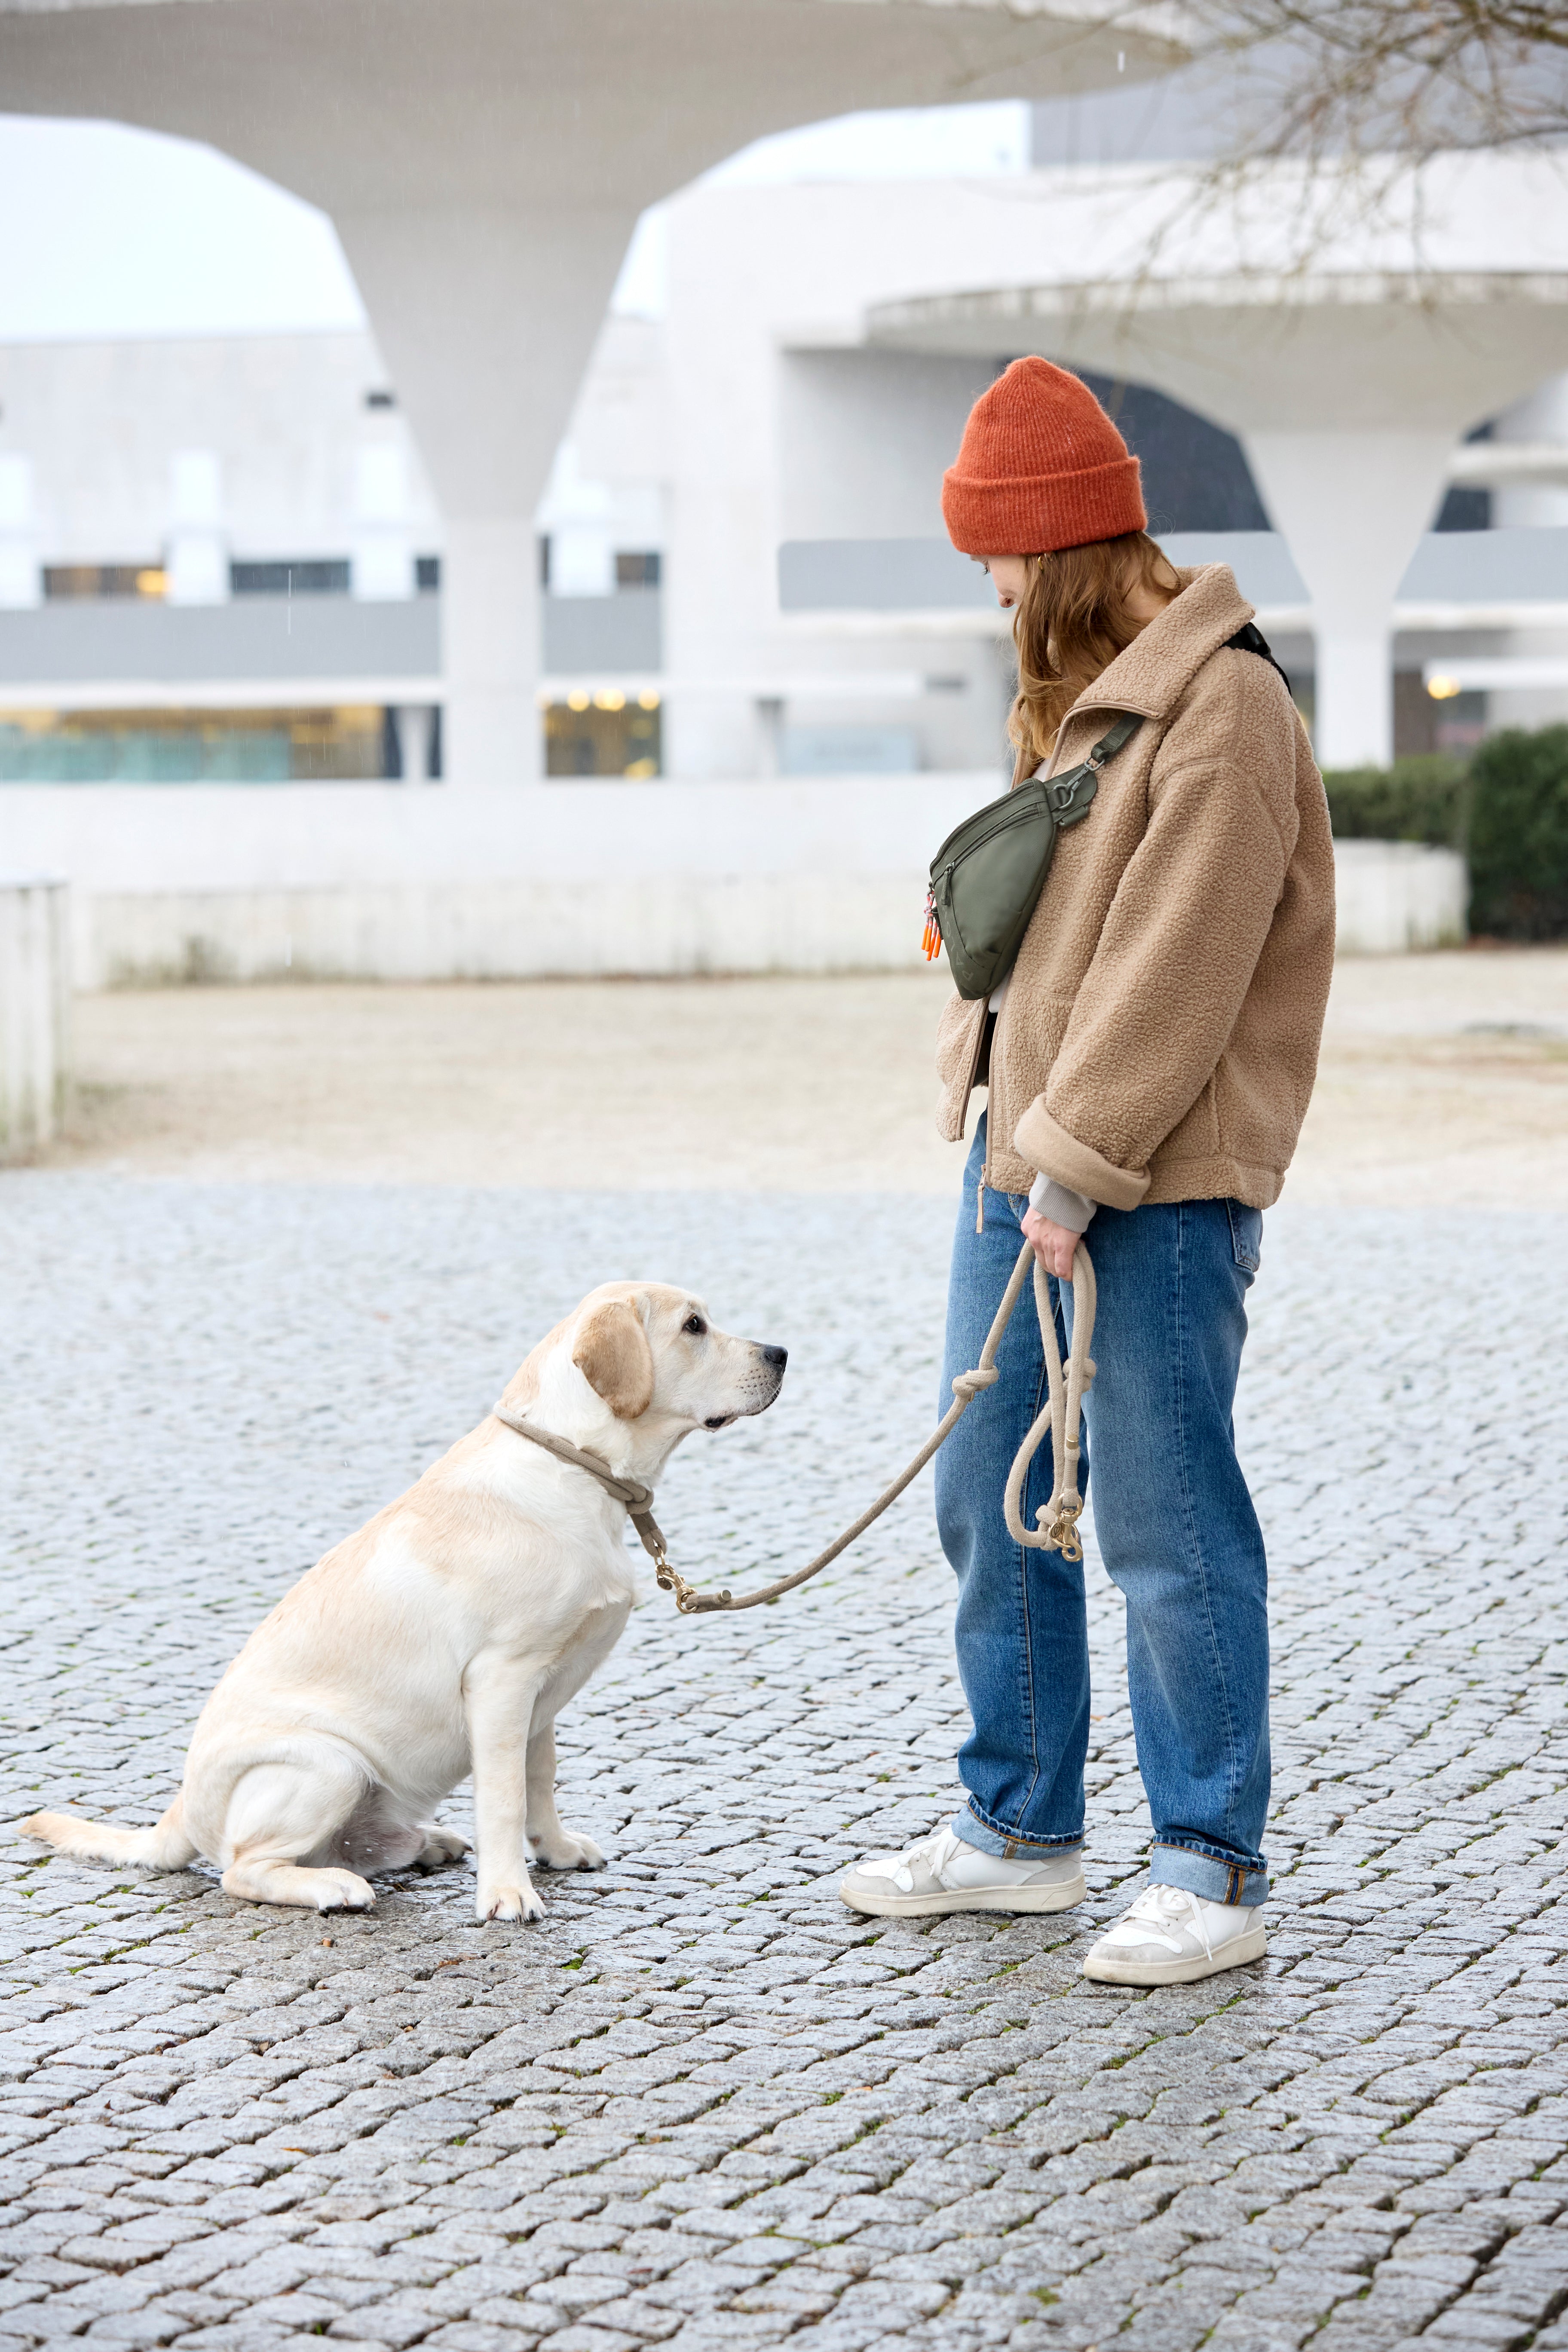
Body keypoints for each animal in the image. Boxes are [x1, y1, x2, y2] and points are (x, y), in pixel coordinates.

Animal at [24, 1289, 785, 1929]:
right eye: (694, 1326)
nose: (781, 1353)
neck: (573, 1465)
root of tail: (180, 1812)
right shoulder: (503, 1680)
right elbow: (504, 1798)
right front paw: (508, 1894)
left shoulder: (543, 1692)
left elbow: (539, 1781)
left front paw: (557, 1849)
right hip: (328, 1763)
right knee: (244, 1869)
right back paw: (334, 1887)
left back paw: (426, 1845)